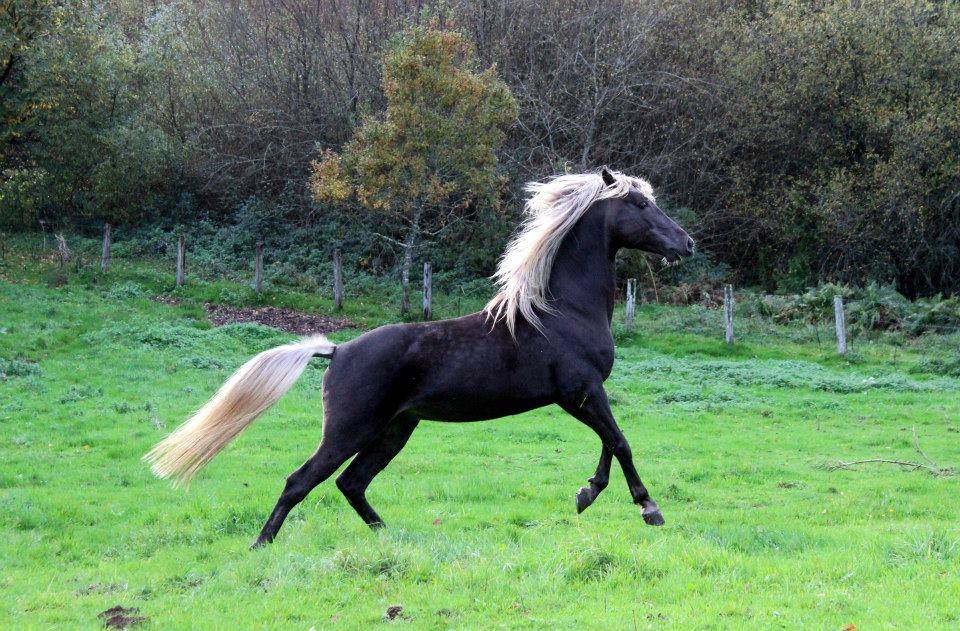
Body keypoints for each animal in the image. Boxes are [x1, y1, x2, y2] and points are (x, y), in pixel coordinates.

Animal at [145, 168, 694, 548]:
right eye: (640, 203)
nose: (686, 243)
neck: (561, 311)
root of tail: (336, 350)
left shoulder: (580, 395)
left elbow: (609, 443)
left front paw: (586, 494)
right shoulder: (579, 391)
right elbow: (620, 442)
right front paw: (648, 509)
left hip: (394, 430)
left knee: (350, 483)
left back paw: (392, 536)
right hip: (350, 430)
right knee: (302, 480)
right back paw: (262, 544)